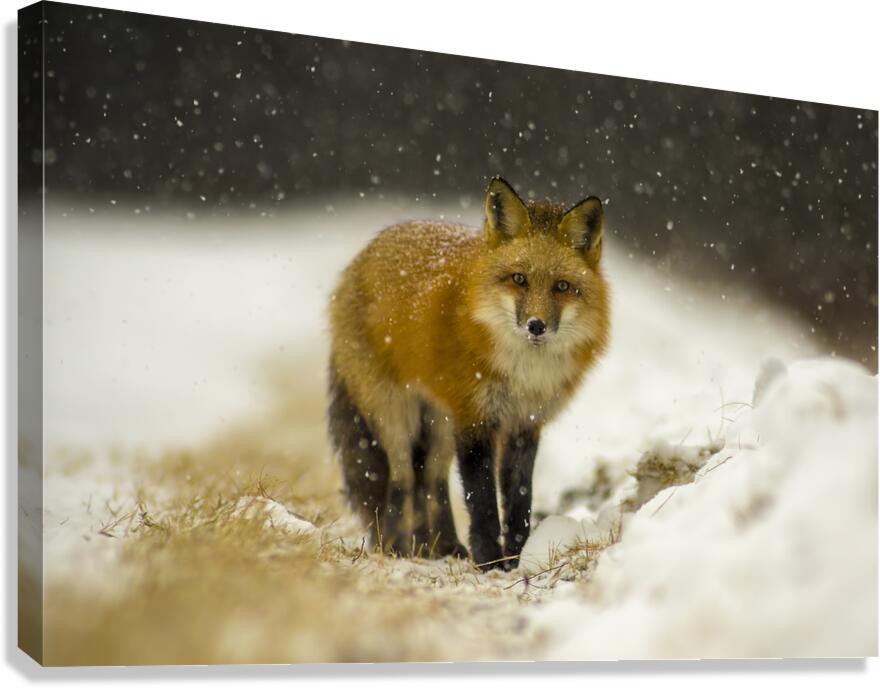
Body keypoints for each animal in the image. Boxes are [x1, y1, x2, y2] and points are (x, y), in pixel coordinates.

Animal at [327, 177, 610, 570]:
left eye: (562, 286)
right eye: (519, 279)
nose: (536, 326)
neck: (524, 374)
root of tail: (363, 254)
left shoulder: (523, 423)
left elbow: (519, 499)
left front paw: (517, 557)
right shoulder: (474, 419)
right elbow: (482, 500)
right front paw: (489, 560)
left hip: (440, 423)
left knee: (432, 480)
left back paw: (440, 545)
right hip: (398, 414)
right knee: (401, 479)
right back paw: (397, 546)